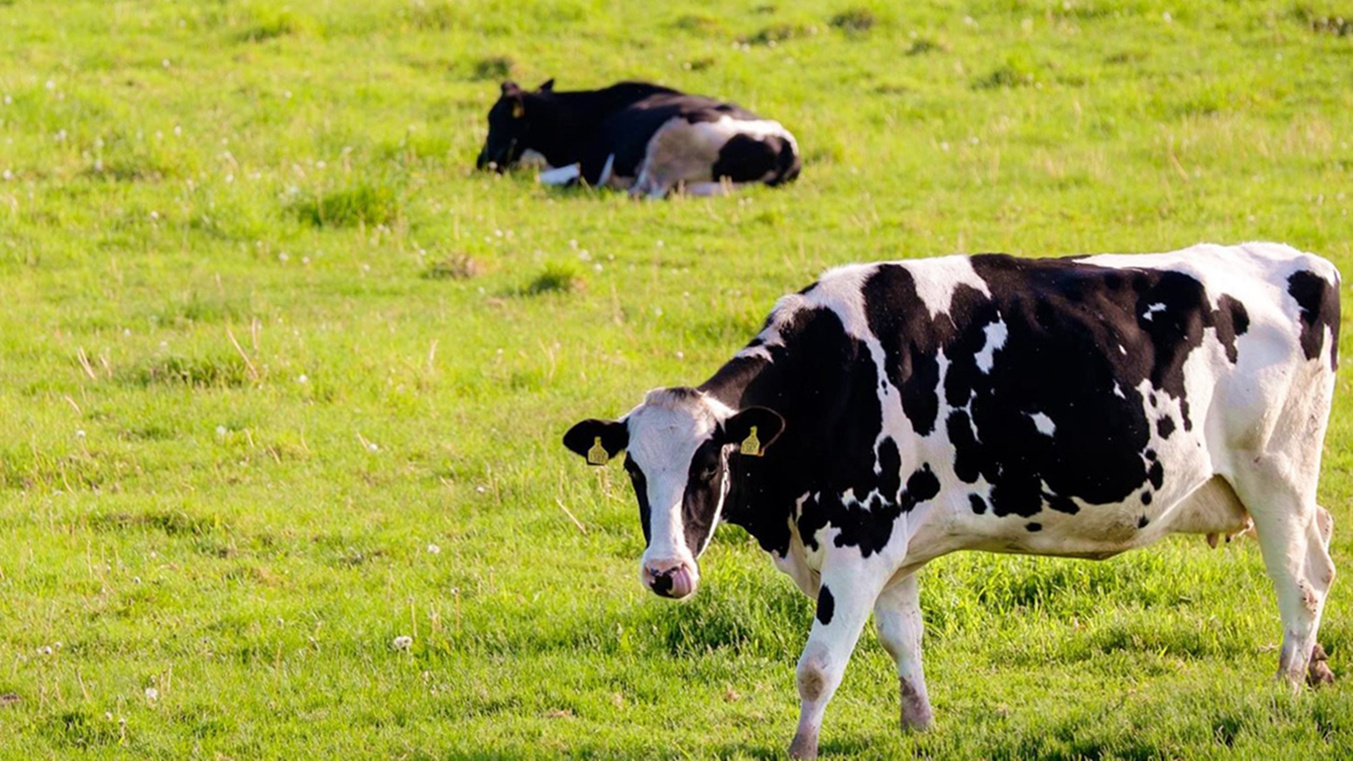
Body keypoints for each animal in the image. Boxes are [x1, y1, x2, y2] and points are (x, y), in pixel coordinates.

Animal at [473, 78, 795, 196]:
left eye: (494, 120)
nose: (480, 163)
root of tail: (787, 149)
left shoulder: (593, 165)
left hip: (667, 141)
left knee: (644, 191)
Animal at [562, 241, 1342, 752]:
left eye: (707, 467)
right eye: (635, 472)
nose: (665, 573)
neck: (831, 379)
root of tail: (1304, 262)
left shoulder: (859, 540)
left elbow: (818, 668)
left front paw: (801, 748)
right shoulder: (890, 549)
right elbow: (901, 637)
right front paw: (919, 725)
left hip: (1273, 471)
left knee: (1301, 580)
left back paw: (1284, 687)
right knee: (1325, 545)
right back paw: (1316, 670)